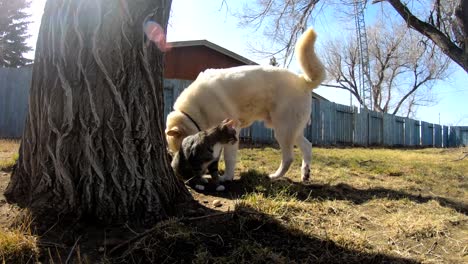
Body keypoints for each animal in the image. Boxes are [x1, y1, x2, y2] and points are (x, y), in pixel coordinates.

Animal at [165, 28, 326, 182]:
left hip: (283, 130)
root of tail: (302, 81)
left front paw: (227, 178)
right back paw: (305, 174)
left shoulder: (232, 131)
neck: (193, 112)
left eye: (183, 151)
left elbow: (229, 159)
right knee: (308, 146)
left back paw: (274, 176)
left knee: (288, 158)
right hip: (290, 129)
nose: (185, 175)